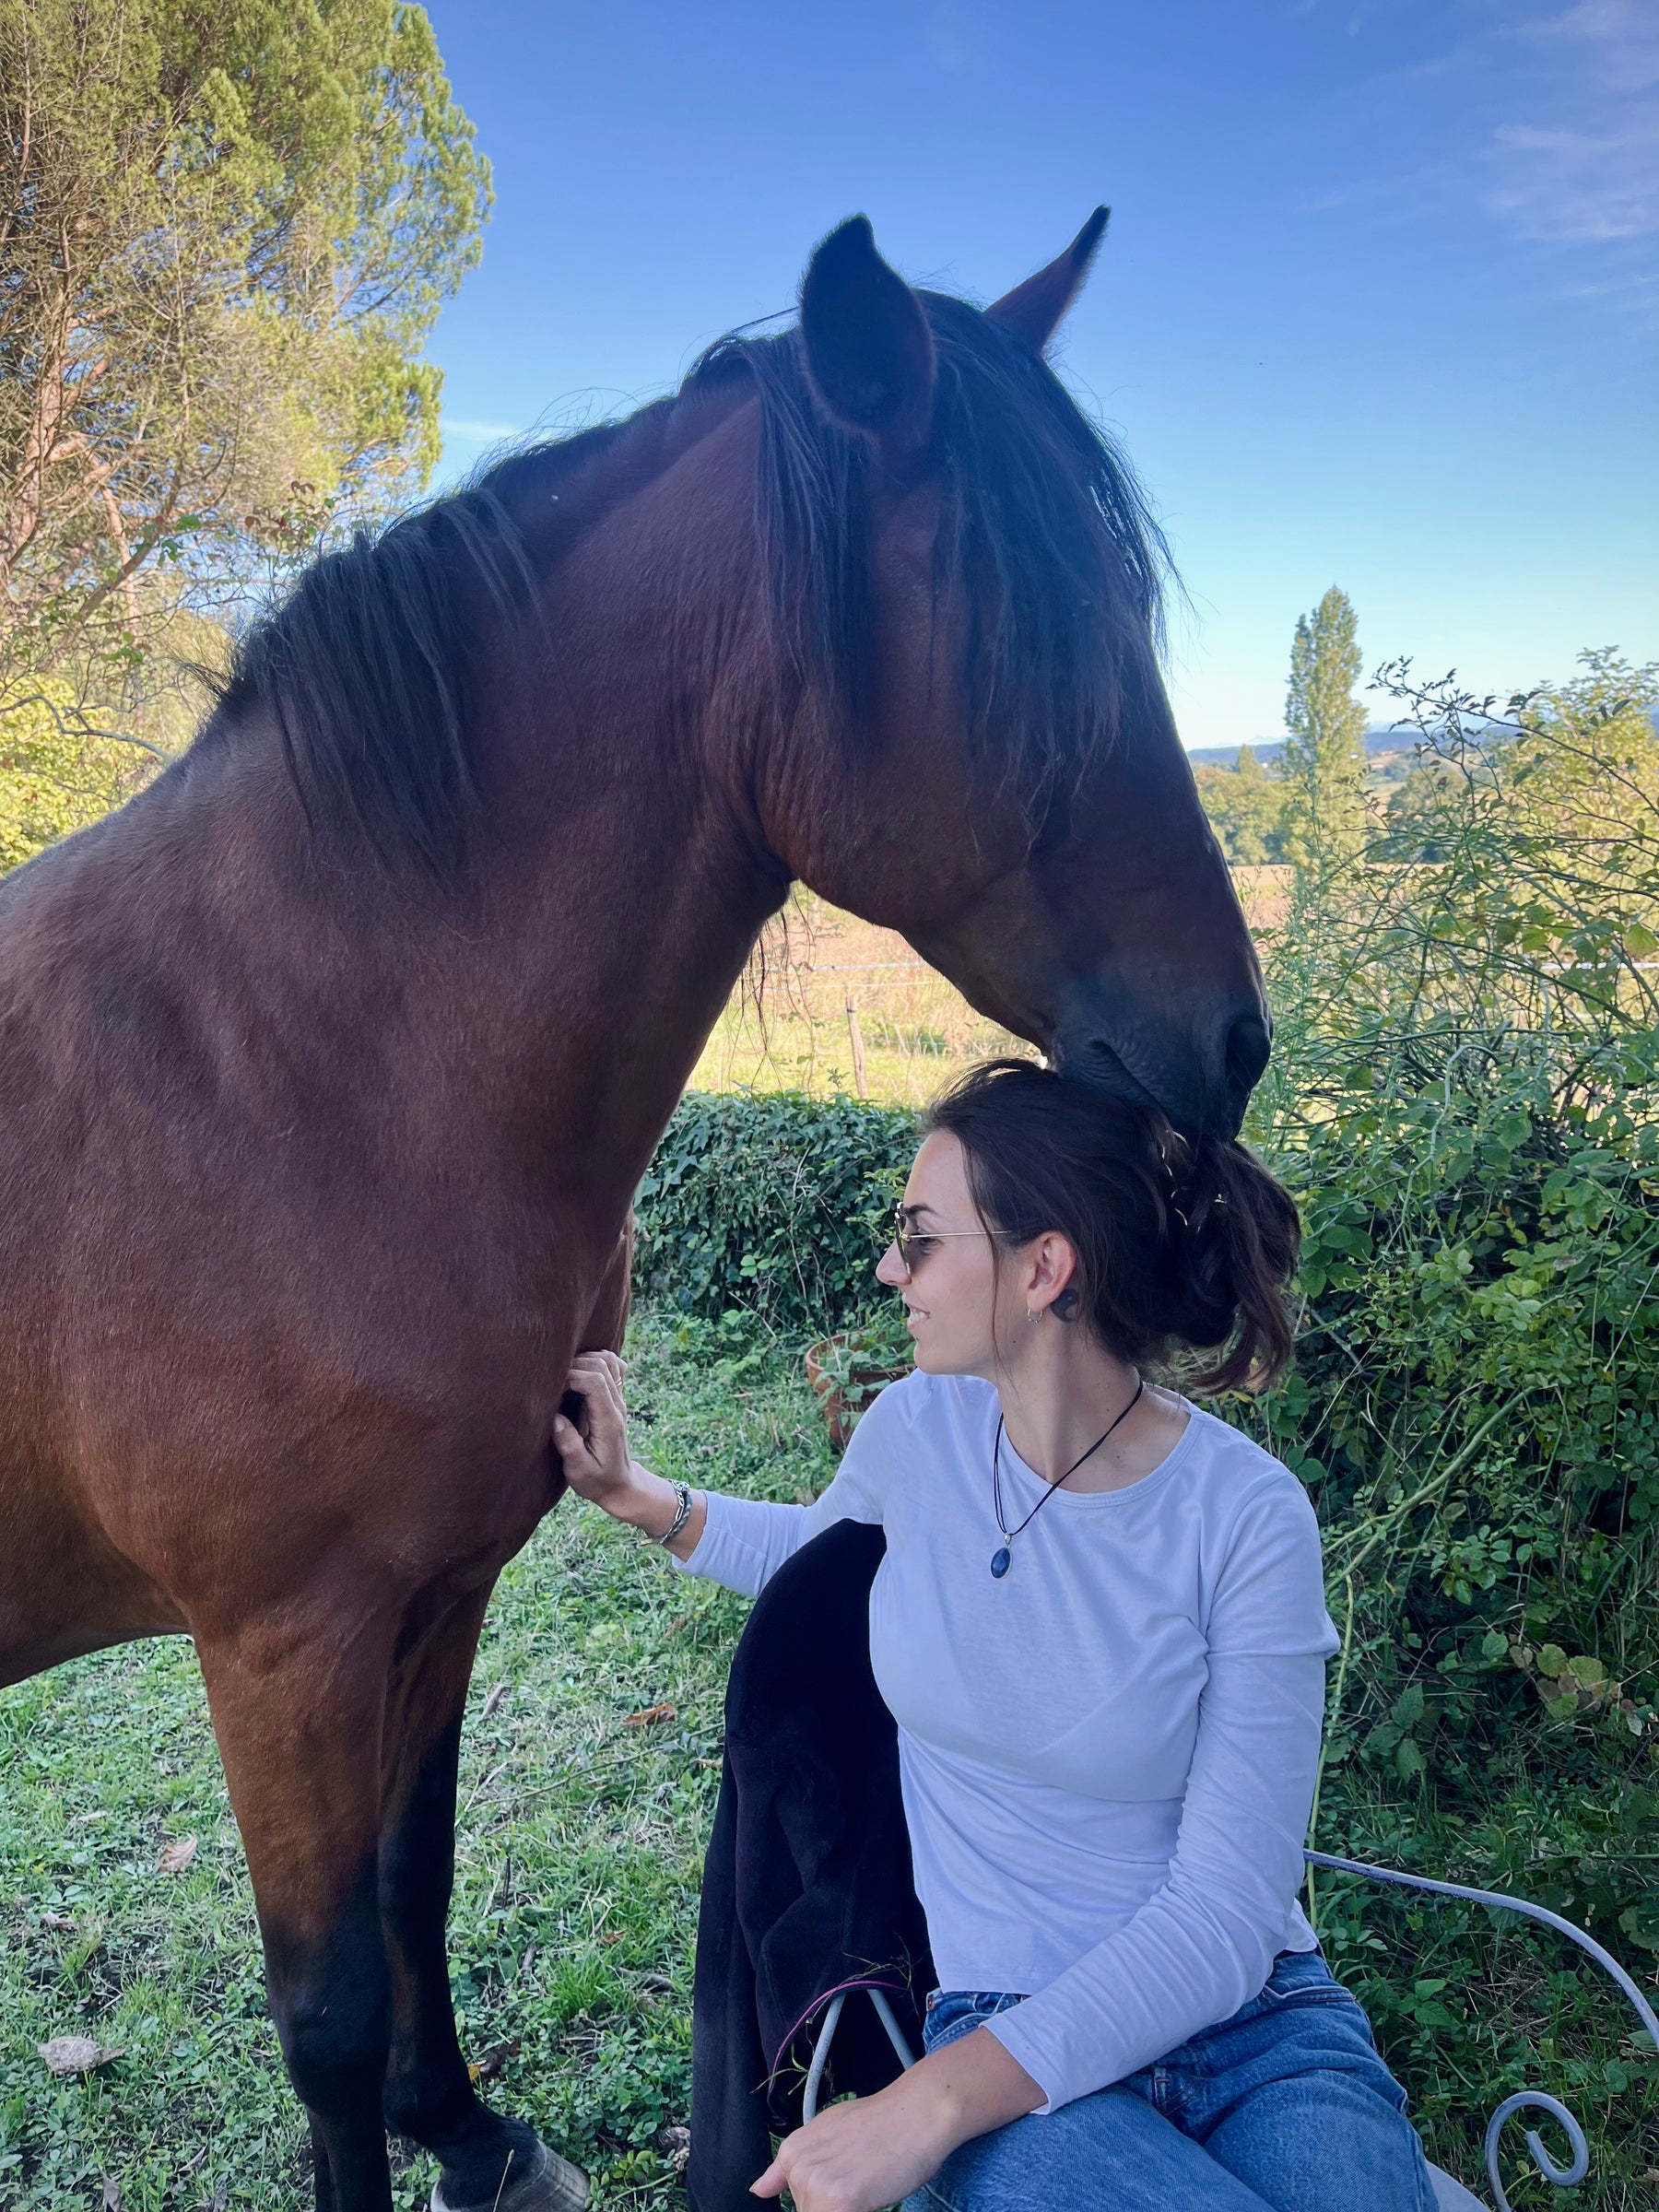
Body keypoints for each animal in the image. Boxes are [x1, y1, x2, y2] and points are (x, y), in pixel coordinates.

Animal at [0, 212, 1268, 2212]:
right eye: (1026, 628)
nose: (1231, 1044)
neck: (275, 1074)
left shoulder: (436, 1595)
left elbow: (419, 1876)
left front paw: (470, 2132)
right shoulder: (283, 1649)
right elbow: (325, 2010)